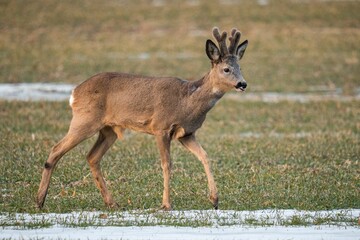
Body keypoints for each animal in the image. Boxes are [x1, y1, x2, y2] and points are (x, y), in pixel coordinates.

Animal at [38, 26, 249, 210]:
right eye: (226, 69)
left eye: (240, 67)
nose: (242, 84)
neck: (187, 101)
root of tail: (74, 93)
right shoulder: (161, 127)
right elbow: (167, 164)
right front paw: (166, 204)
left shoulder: (187, 133)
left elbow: (205, 156)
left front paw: (214, 200)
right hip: (84, 120)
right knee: (56, 150)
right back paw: (40, 201)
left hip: (108, 129)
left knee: (92, 156)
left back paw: (112, 203)